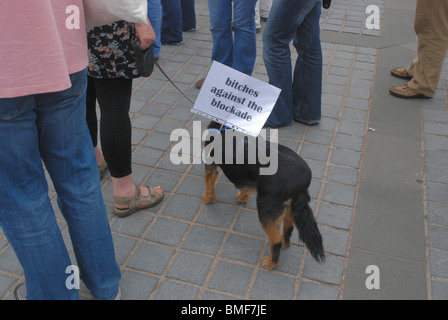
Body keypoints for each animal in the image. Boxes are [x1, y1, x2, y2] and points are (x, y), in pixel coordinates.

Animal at [201, 121, 324, 272]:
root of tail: (300, 181)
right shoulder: (247, 178)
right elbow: (244, 189)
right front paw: (242, 198)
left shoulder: (210, 165)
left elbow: (209, 185)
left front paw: (207, 199)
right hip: (288, 206)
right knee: (288, 228)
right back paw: (285, 243)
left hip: (266, 209)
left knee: (275, 241)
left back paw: (271, 263)